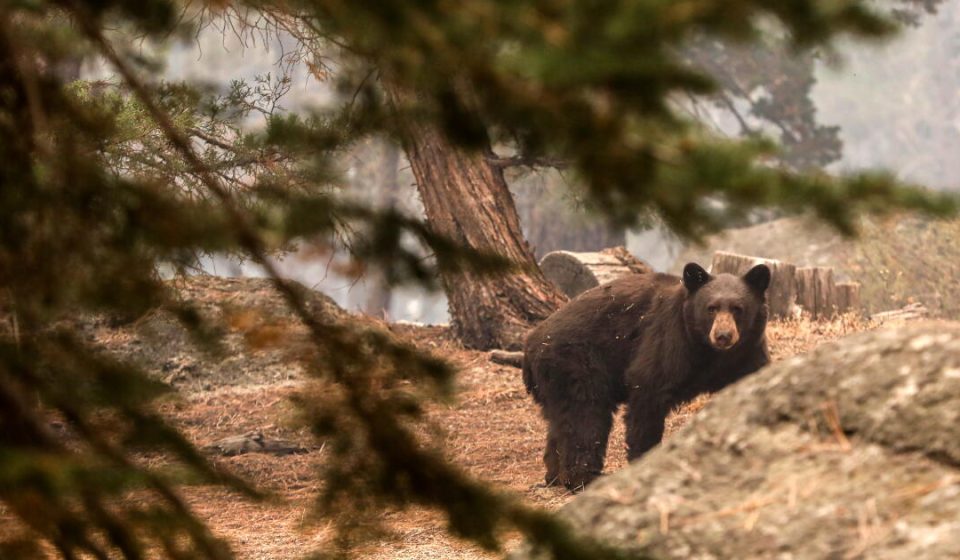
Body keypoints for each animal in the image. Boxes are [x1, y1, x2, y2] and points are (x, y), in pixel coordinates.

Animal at [522, 262, 770, 490]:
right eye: (711, 308)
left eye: (738, 308)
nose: (723, 336)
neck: (709, 351)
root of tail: (531, 344)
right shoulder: (669, 339)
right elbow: (648, 393)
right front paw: (645, 460)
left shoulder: (746, 354)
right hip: (576, 363)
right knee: (585, 417)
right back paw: (584, 478)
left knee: (560, 421)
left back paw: (554, 475)